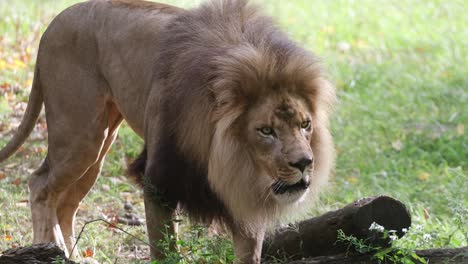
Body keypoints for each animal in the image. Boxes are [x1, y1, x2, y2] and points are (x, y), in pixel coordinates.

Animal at [0, 0, 336, 262]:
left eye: (305, 125)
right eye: (266, 130)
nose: (304, 163)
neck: (232, 160)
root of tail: (52, 24)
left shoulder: (240, 196)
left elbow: (248, 254)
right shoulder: (158, 183)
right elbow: (165, 251)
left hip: (99, 144)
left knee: (66, 203)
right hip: (79, 133)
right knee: (40, 185)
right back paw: (48, 248)